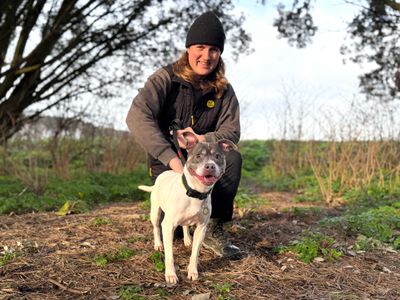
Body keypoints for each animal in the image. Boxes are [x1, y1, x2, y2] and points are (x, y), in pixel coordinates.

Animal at [138, 132, 236, 284]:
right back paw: (158, 244)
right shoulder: (168, 226)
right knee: (156, 227)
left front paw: (193, 271)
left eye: (218, 156)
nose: (210, 166)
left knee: (184, 226)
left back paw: (187, 240)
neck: (195, 192)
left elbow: (195, 254)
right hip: (155, 212)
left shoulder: (201, 228)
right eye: (199, 156)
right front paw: (171, 274)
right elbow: (169, 255)